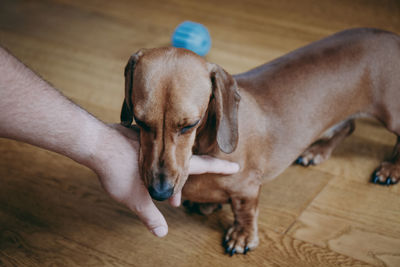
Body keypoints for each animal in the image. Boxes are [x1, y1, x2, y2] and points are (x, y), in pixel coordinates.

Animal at [119, 28, 400, 256]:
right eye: (140, 121)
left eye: (190, 125)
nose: (160, 192)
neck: (205, 145)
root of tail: (392, 37)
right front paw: (208, 204)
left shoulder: (248, 187)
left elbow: (244, 210)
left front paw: (242, 236)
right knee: (348, 126)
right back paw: (317, 151)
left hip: (392, 115)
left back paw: (391, 169)